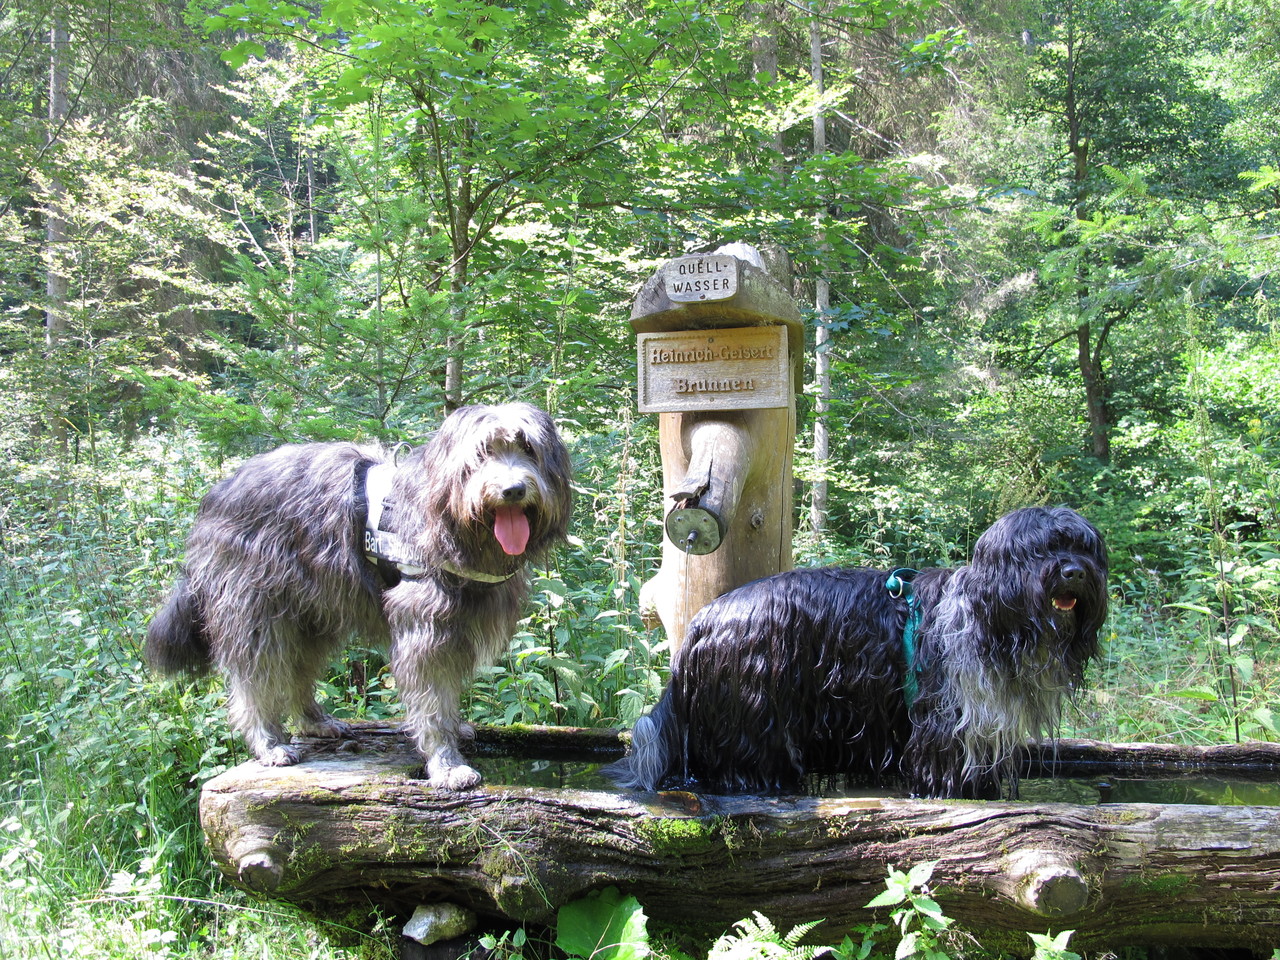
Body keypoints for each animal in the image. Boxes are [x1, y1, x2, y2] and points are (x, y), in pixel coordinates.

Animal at [141, 404, 576, 788]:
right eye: (483, 452)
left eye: (528, 449)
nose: (513, 489)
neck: (453, 522)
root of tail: (219, 491)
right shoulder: (424, 626)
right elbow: (432, 699)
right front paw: (447, 764)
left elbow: (446, 693)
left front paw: (455, 733)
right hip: (254, 607)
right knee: (255, 678)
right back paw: (269, 743)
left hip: (310, 611)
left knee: (298, 670)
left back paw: (315, 721)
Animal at [604, 506, 1105, 798]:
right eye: (1039, 550)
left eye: (1084, 548)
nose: (1074, 573)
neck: (988, 615)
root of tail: (705, 618)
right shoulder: (948, 718)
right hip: (751, 709)